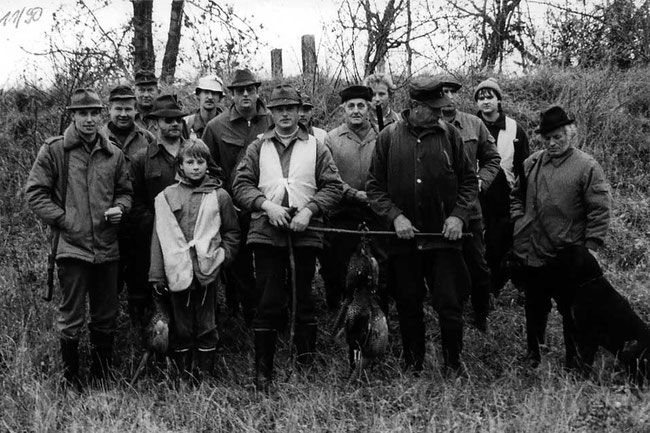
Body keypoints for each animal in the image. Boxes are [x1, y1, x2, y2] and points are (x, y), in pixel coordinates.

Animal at [552, 245, 648, 380]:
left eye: (566, 250)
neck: (589, 282)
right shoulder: (574, 328)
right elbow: (571, 354)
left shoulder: (589, 335)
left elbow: (585, 360)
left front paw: (580, 378)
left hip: (631, 347)